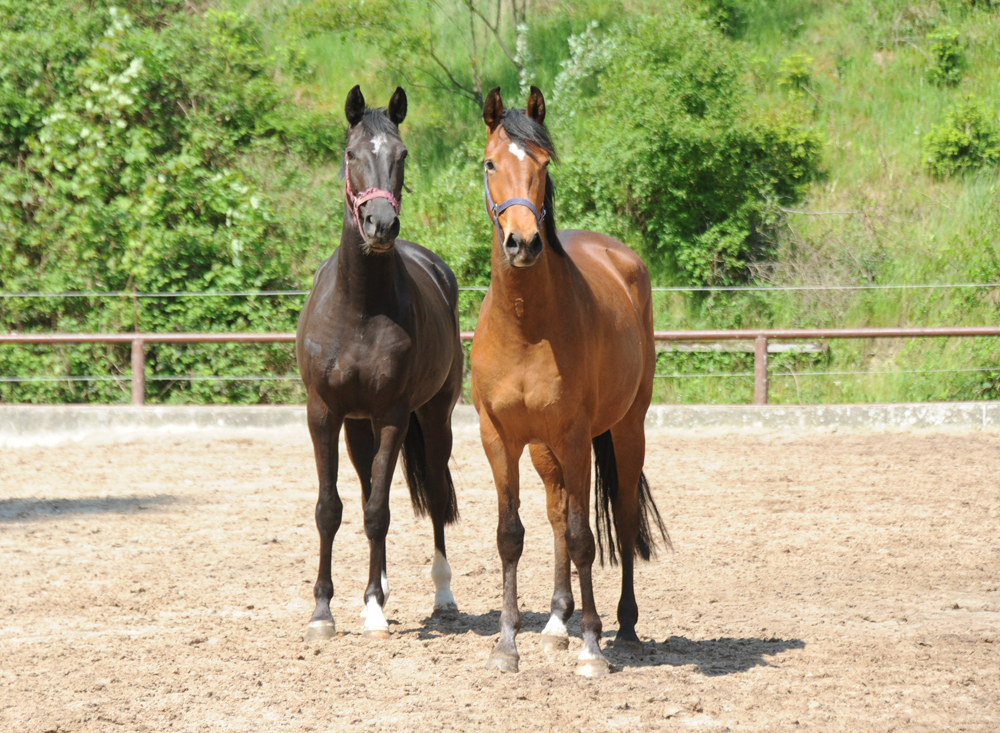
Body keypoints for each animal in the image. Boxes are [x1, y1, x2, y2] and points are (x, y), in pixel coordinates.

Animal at [296, 83, 464, 636]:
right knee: (371, 483)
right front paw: (323, 611)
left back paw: (442, 594)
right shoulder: (324, 414)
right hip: (357, 427)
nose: (381, 224)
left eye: (402, 154)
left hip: (434, 418)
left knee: (434, 495)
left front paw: (372, 610)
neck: (360, 307)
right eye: (351, 154)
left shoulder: (393, 414)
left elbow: (377, 512)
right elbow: (331, 509)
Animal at [470, 84, 672, 676]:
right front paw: (507, 643)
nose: (523, 242)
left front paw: (591, 648)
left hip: (625, 430)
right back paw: (557, 622)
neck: (526, 325)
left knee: (620, 518)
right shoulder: (499, 438)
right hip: (545, 449)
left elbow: (586, 539)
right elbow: (511, 535)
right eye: (490, 163)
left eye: (543, 164)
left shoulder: (577, 437)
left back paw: (623, 628)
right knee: (558, 511)